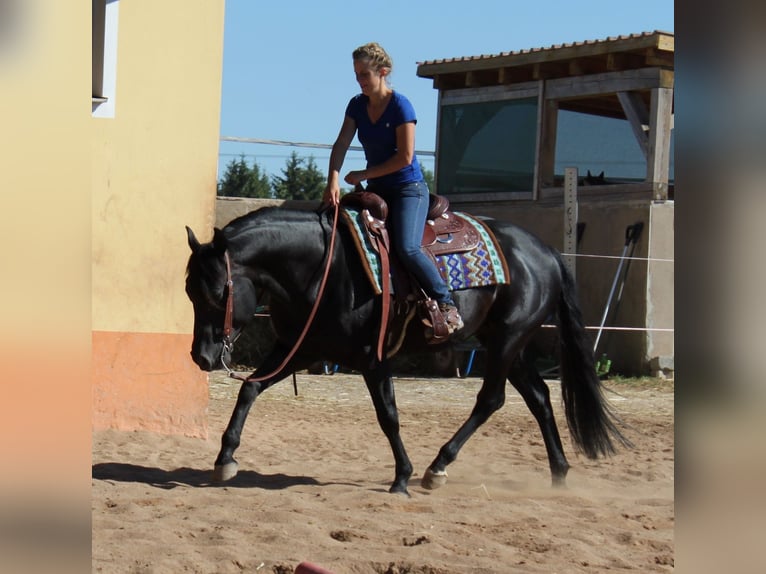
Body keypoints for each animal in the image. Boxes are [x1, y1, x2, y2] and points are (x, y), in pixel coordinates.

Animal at [184, 204, 629, 496]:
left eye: (218, 291)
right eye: (190, 291)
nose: (201, 357)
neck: (324, 269)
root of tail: (547, 252)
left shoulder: (374, 358)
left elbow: (389, 417)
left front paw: (402, 476)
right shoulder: (301, 347)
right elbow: (250, 389)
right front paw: (225, 459)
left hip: (507, 341)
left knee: (491, 399)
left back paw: (437, 467)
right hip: (507, 344)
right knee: (538, 397)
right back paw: (559, 472)